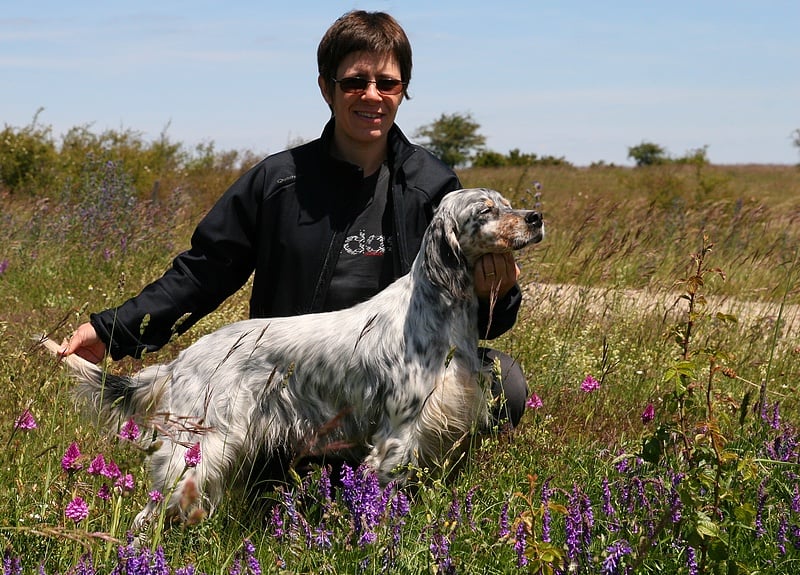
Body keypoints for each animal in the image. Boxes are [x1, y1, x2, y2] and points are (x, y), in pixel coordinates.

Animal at [42, 187, 543, 529]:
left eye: (508, 203)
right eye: (486, 210)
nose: (536, 217)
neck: (436, 306)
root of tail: (179, 361)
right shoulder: (397, 434)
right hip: (197, 446)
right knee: (149, 513)